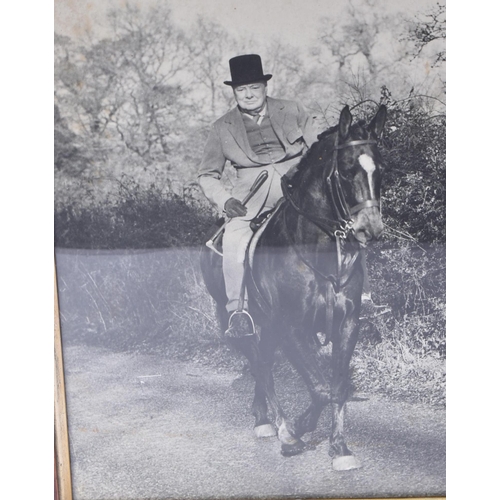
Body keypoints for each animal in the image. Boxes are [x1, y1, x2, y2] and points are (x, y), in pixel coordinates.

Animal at [199, 103, 386, 470]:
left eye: (380, 168)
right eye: (346, 170)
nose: (370, 229)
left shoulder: (345, 324)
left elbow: (336, 386)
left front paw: (340, 448)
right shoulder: (291, 327)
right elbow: (320, 388)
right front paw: (295, 431)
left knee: (263, 362)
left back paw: (266, 417)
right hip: (240, 322)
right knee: (260, 364)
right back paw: (273, 426)